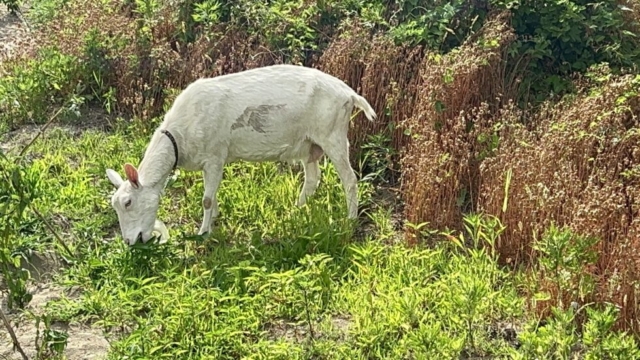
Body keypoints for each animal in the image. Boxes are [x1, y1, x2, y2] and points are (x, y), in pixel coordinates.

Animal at [104, 64, 376, 245]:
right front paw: (213, 219)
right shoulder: (210, 162)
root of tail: (349, 94)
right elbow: (211, 196)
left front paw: (203, 232)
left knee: (349, 180)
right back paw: (296, 210)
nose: (129, 242)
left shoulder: (215, 155)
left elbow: (206, 199)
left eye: (128, 202)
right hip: (309, 145)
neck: (180, 136)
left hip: (333, 135)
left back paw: (350, 219)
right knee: (312, 179)